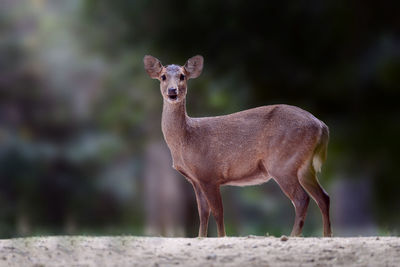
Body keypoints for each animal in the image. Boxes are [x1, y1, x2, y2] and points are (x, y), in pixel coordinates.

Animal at [143, 55, 332, 239]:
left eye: (182, 76)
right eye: (163, 76)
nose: (172, 91)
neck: (185, 140)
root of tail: (321, 125)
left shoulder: (209, 174)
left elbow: (217, 212)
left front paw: (221, 237)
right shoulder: (196, 179)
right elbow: (203, 212)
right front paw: (201, 237)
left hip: (282, 162)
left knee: (302, 199)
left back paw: (293, 235)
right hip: (304, 166)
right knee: (324, 196)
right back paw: (327, 235)